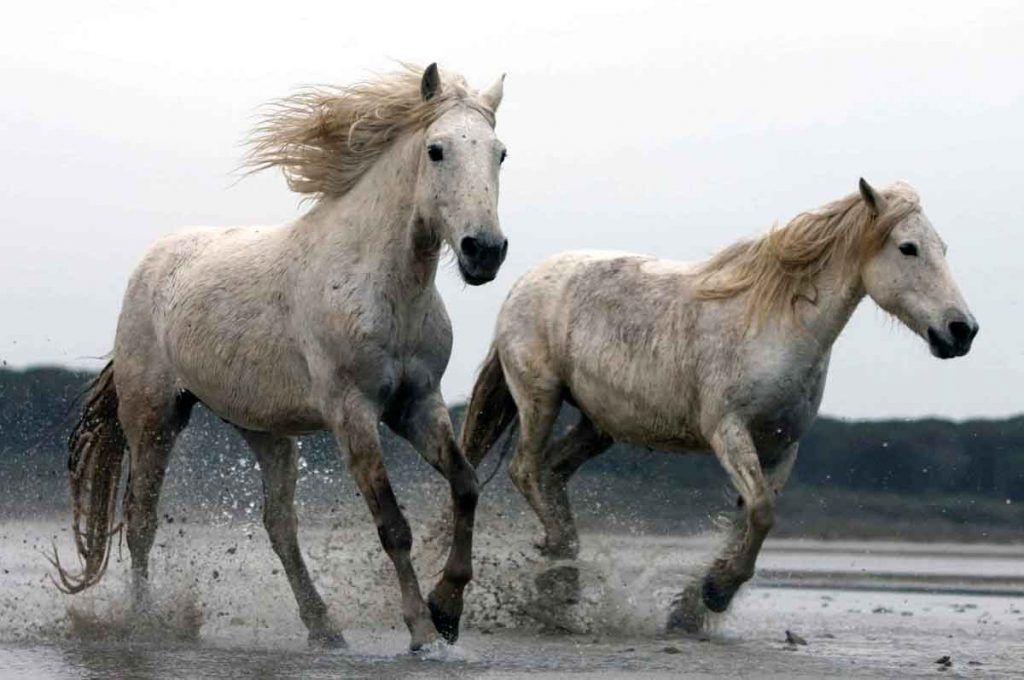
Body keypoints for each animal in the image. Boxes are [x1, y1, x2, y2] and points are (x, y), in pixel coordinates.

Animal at [51, 65, 507, 655]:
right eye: (436, 150)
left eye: (500, 153)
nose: (485, 251)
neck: (379, 284)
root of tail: (153, 261)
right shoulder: (351, 412)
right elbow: (392, 525)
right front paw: (423, 633)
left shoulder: (418, 405)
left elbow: (466, 486)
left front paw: (447, 610)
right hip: (154, 416)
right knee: (141, 519)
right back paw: (144, 622)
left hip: (265, 431)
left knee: (279, 525)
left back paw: (324, 628)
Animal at [460, 179, 978, 630]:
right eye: (908, 248)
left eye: (944, 248)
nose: (962, 331)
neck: (778, 326)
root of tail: (523, 283)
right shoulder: (728, 431)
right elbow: (762, 512)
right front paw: (715, 592)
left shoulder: (781, 446)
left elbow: (750, 519)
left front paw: (693, 607)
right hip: (540, 398)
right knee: (526, 469)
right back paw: (561, 563)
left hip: (597, 425)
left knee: (551, 472)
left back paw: (560, 577)